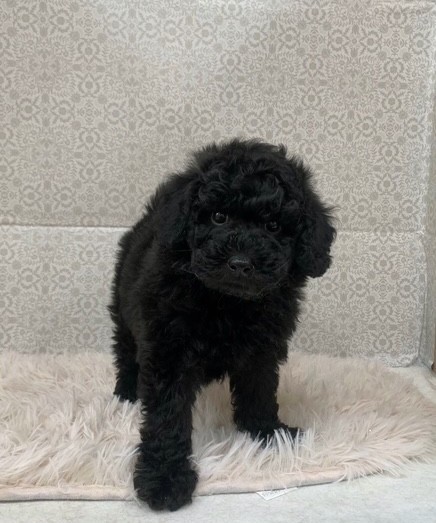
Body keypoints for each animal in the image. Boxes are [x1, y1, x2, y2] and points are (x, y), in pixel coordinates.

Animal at [109, 138, 336, 511]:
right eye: (218, 217)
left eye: (273, 227)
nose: (241, 263)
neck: (227, 302)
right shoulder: (167, 352)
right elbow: (167, 416)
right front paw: (164, 477)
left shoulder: (263, 349)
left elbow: (259, 390)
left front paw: (266, 432)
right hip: (123, 309)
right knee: (125, 351)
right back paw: (127, 392)